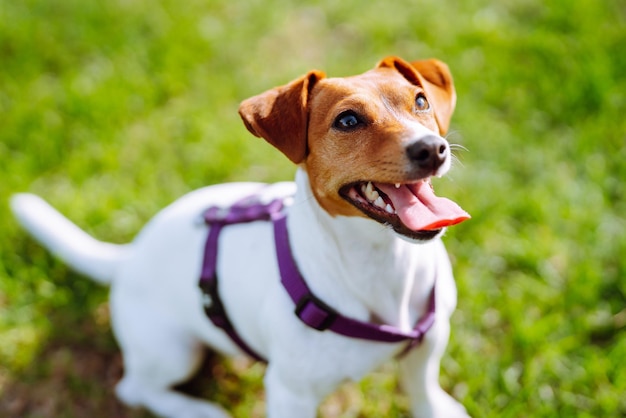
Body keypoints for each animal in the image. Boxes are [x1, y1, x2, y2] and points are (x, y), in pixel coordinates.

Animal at [11, 56, 468, 418]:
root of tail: (128, 256)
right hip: (174, 351)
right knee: (136, 388)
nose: (432, 148)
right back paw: (197, 411)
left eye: (421, 101)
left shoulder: (430, 344)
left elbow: (423, 390)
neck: (381, 261)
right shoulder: (289, 395)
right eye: (348, 120)